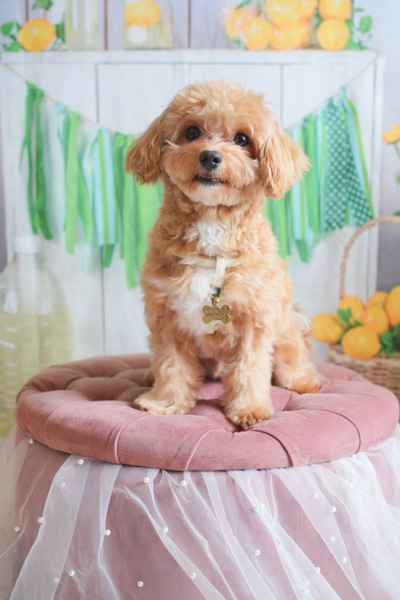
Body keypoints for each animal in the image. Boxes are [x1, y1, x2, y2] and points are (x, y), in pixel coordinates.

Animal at [125, 79, 320, 429]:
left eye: (242, 139)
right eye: (191, 132)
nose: (210, 156)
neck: (212, 228)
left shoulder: (254, 321)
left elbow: (250, 369)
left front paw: (249, 409)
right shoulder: (166, 316)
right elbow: (170, 365)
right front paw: (165, 403)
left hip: (284, 326)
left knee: (292, 355)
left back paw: (301, 379)